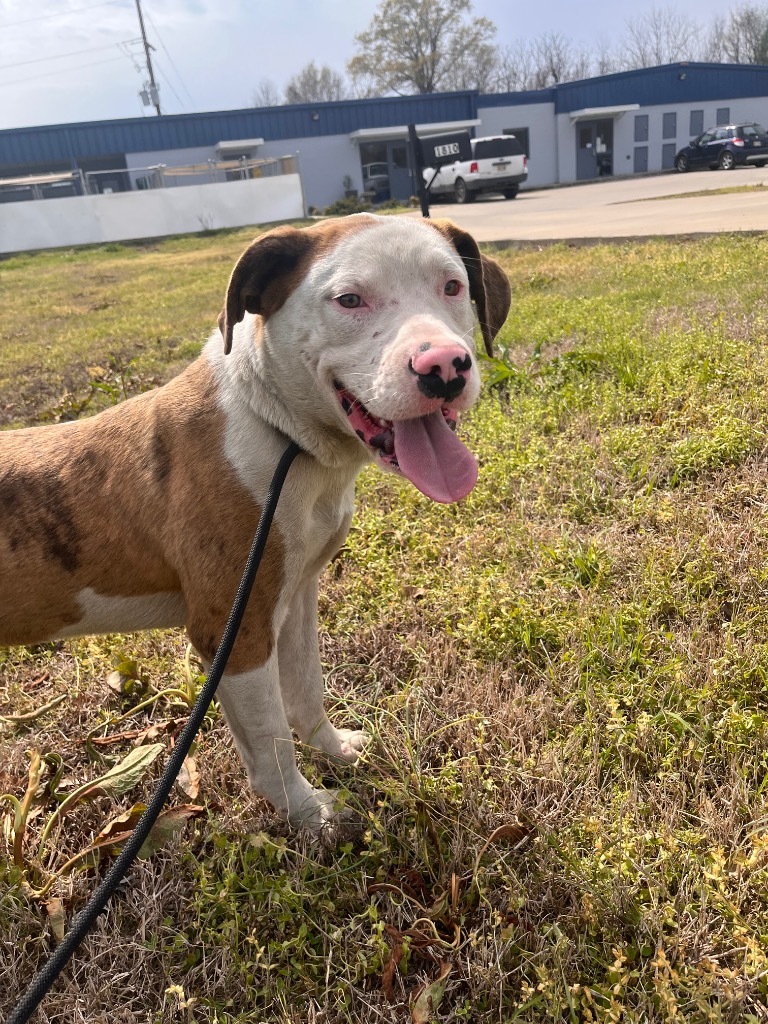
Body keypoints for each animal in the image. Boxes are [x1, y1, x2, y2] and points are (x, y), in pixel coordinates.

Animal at [3, 216, 514, 831]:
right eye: (349, 300)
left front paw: (334, 752)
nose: (443, 366)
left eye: (452, 287)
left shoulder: (293, 598)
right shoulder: (234, 630)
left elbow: (305, 691)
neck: (280, 433)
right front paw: (310, 815)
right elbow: (271, 742)